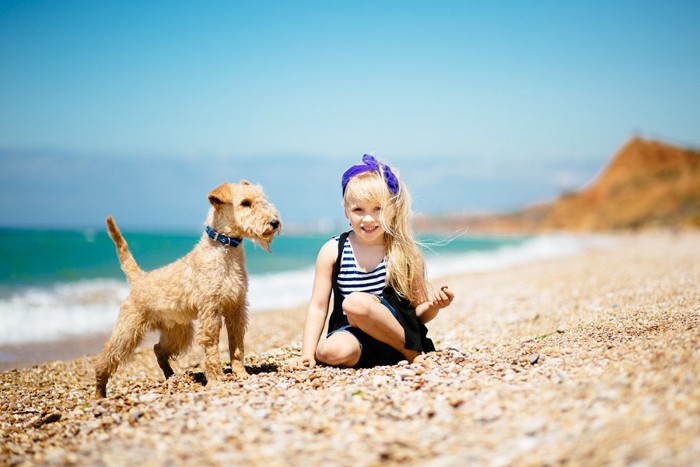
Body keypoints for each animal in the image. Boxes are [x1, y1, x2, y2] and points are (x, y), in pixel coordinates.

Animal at [95, 180, 282, 398]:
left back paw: (171, 377)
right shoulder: (211, 311)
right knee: (105, 360)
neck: (225, 249)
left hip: (178, 332)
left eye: (262, 199)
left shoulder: (237, 308)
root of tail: (140, 278)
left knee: (158, 350)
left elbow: (237, 346)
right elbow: (211, 348)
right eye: (245, 203)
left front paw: (241, 374)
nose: (275, 222)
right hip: (128, 330)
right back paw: (100, 394)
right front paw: (216, 380)